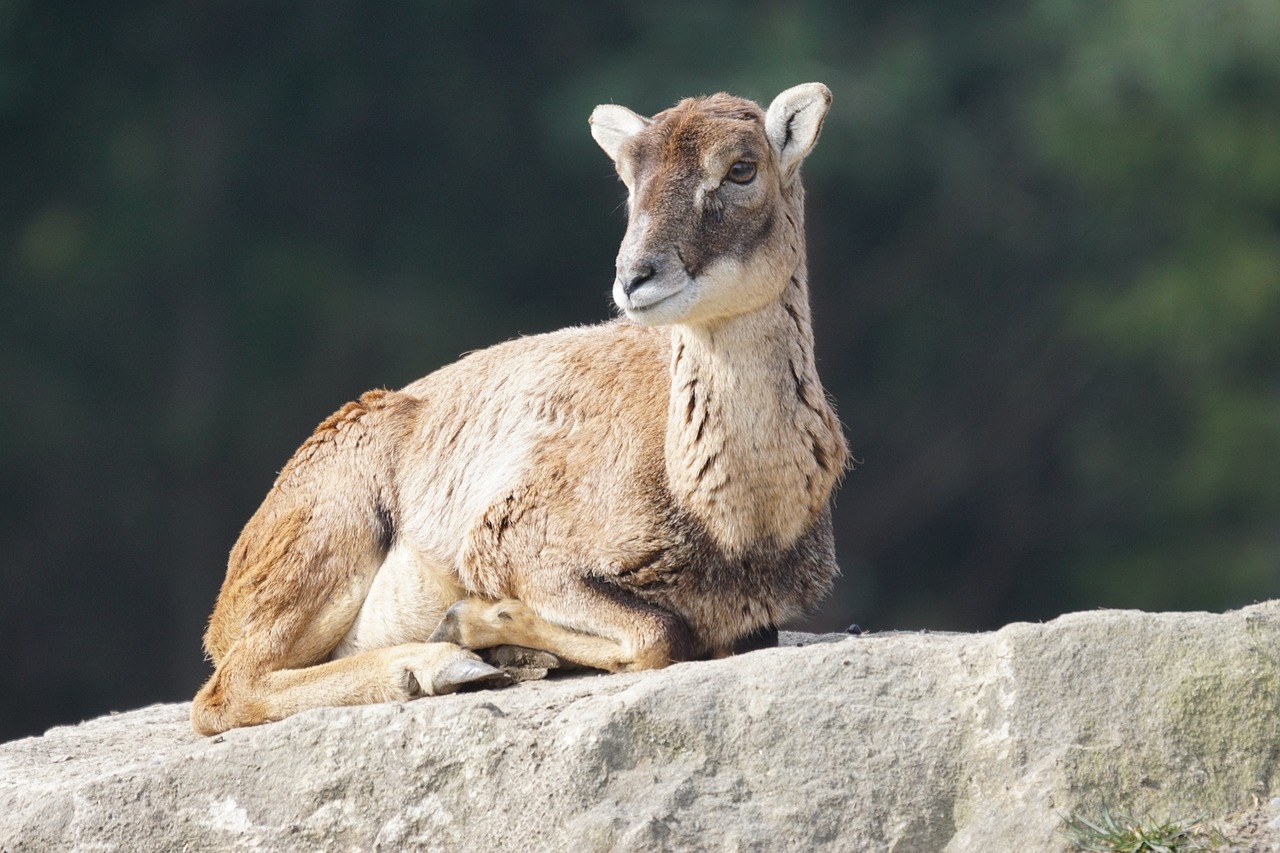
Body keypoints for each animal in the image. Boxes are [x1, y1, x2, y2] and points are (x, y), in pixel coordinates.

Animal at [189, 84, 849, 732]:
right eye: (628, 177)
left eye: (741, 168)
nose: (635, 277)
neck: (735, 522)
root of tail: (222, 610)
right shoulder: (519, 546)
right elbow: (658, 635)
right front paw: (475, 628)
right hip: (330, 533)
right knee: (225, 691)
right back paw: (441, 668)